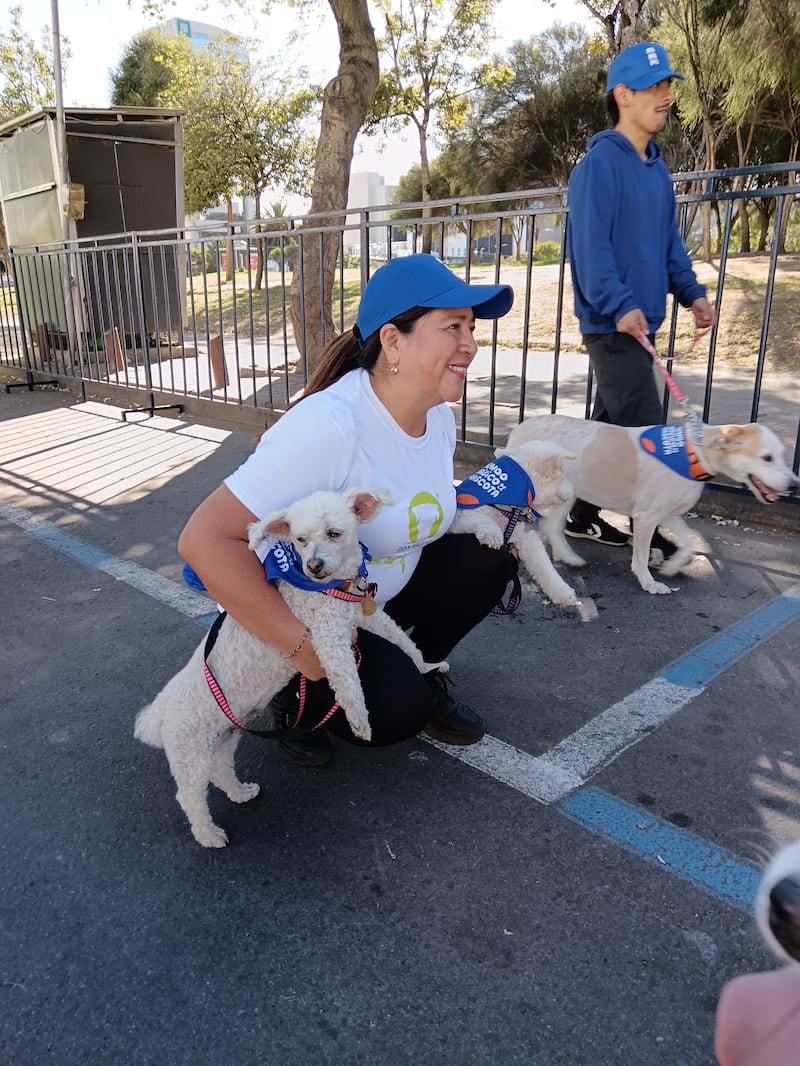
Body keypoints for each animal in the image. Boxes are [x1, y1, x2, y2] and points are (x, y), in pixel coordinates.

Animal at [134, 488, 428, 848]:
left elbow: (399, 635)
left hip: (222, 740)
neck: (330, 590)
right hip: (190, 756)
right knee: (190, 798)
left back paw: (241, 793)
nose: (314, 566)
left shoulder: (364, 615)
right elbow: (348, 682)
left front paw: (425, 663)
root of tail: (159, 712)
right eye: (300, 539)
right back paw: (209, 835)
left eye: (334, 533)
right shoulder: (328, 639)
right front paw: (360, 721)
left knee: (221, 771)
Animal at [452, 439, 584, 609]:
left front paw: (562, 592)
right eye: (564, 477)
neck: (508, 505)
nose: (574, 490)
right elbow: (483, 519)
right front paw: (491, 534)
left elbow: (545, 566)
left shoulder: (525, 538)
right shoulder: (459, 517)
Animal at [503, 415, 797, 596]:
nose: (794, 485)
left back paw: (570, 557)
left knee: (553, 526)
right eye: (767, 457)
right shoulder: (646, 517)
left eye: (782, 455)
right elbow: (641, 557)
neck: (693, 453)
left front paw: (671, 565)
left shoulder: (668, 514)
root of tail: (519, 428)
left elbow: (689, 542)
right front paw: (649, 583)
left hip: (569, 492)